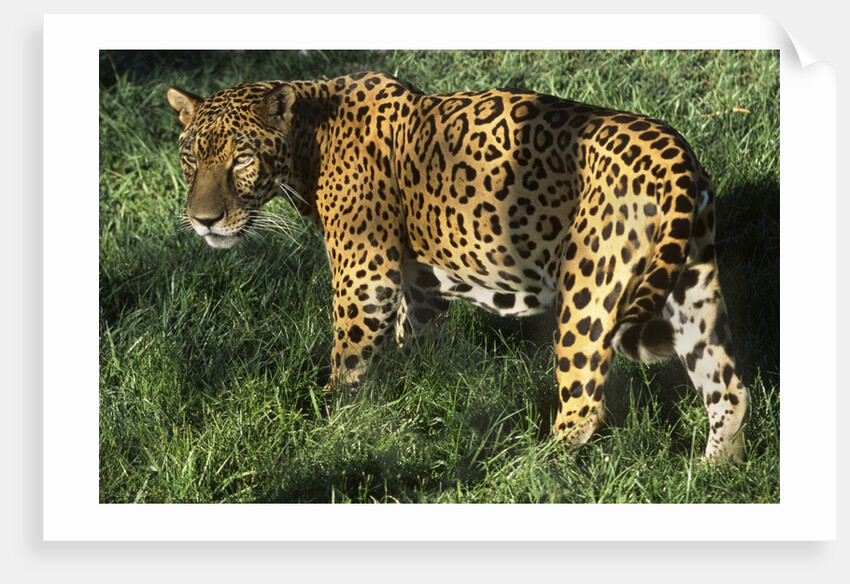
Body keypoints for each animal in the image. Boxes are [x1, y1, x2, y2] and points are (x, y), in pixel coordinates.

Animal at [167, 71, 749, 461]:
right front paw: (419, 395)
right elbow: (416, 339)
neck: (310, 138)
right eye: (191, 158)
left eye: (242, 159)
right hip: (691, 285)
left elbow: (348, 360)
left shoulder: (364, 276)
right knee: (729, 391)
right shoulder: (418, 281)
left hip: (588, 293)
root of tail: (676, 154)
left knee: (584, 406)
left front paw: (327, 423)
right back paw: (713, 475)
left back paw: (532, 470)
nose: (203, 221)